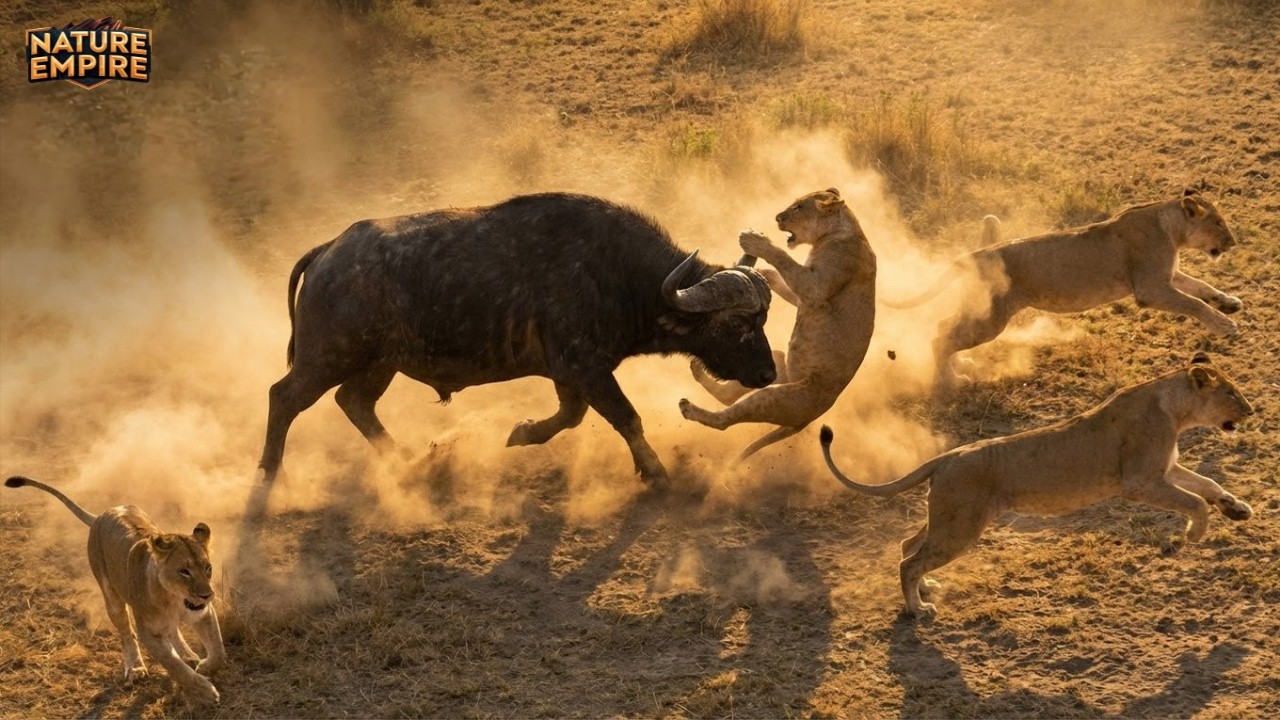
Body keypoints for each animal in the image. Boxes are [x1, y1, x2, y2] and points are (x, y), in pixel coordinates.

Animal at [5, 476, 226, 704]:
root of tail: (102, 515)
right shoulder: (148, 632)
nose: (207, 595)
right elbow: (175, 667)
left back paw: (188, 656)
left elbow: (218, 650)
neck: (174, 599)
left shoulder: (204, 612)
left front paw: (205, 666)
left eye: (208, 568)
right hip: (112, 599)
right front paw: (205, 690)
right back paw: (136, 668)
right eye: (184, 572)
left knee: (172, 630)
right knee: (127, 633)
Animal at [679, 187, 876, 459]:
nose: (777, 218)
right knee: (731, 396)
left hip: (776, 397)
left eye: (799, 207)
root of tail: (812, 417)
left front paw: (755, 240)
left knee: (725, 420)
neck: (836, 233)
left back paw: (690, 408)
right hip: (778, 364)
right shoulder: (804, 296)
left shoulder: (816, 288)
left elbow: (783, 259)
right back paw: (698, 370)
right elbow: (781, 278)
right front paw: (757, 275)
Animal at [819, 353, 1255, 618]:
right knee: (908, 561)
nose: (1251, 410)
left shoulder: (1165, 468)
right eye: (1232, 392)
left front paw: (1236, 508)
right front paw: (1193, 534)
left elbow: (1206, 484)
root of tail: (948, 456)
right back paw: (917, 610)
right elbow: (1194, 501)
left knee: (909, 545)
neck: (1173, 407)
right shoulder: (1139, 480)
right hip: (960, 526)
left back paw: (926, 589)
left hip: (947, 516)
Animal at [884, 189, 1243, 386]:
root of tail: (978, 253)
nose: (1232, 242)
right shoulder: (1150, 288)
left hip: (981, 309)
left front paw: (1229, 303)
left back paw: (961, 367)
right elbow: (1193, 304)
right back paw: (951, 381)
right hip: (992, 318)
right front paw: (1225, 325)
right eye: (1218, 223)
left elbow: (1202, 288)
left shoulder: (1168, 277)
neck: (1170, 226)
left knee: (944, 327)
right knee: (940, 337)